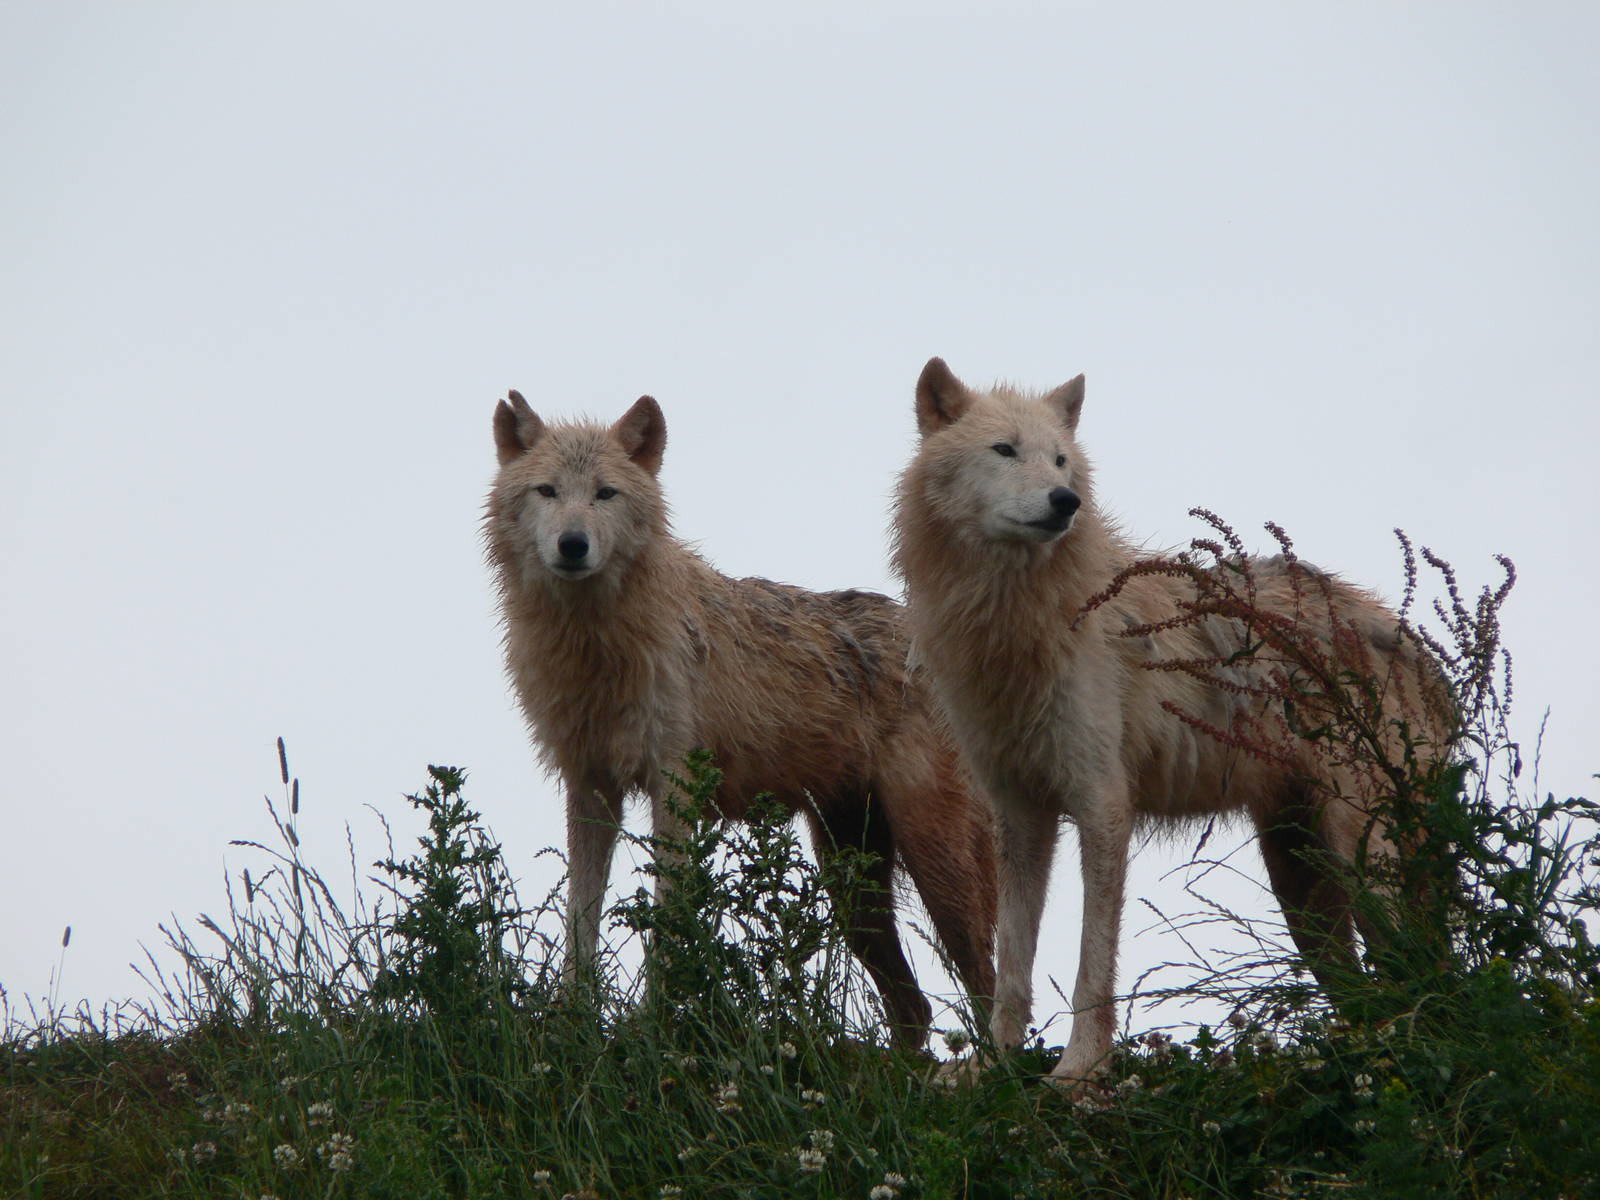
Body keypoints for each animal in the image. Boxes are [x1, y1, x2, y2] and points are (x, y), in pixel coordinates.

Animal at [486, 389, 997, 1047]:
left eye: (605, 494)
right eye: (547, 491)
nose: (573, 545)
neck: (594, 646)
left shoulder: (674, 791)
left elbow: (665, 924)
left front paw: (654, 1027)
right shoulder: (592, 789)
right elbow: (582, 920)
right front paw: (574, 1022)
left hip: (932, 854)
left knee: (988, 979)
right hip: (850, 882)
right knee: (916, 1009)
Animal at [891, 358, 1451, 1083]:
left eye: (1061, 460)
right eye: (1005, 451)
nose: (1065, 502)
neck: (1018, 622)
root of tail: (1412, 647)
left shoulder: (1102, 802)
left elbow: (1092, 962)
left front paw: (1080, 1071)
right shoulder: (1020, 813)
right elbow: (1012, 959)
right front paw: (992, 1065)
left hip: (1363, 856)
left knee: (1420, 967)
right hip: (1300, 873)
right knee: (1364, 982)